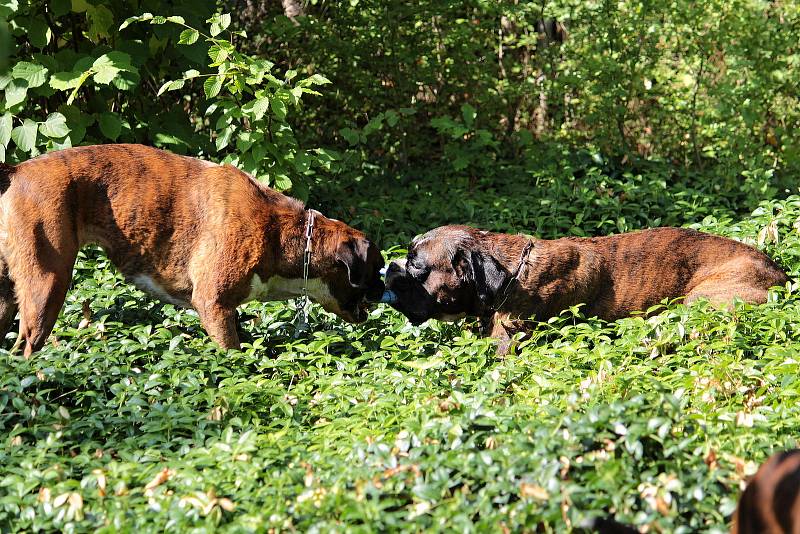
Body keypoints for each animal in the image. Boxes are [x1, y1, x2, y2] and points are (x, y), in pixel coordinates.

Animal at [0, 144, 384, 358]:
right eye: (374, 268)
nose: (385, 289)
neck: (283, 232)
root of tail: (16, 171)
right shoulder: (214, 305)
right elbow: (234, 355)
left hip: (9, 293)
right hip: (47, 284)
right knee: (28, 345)